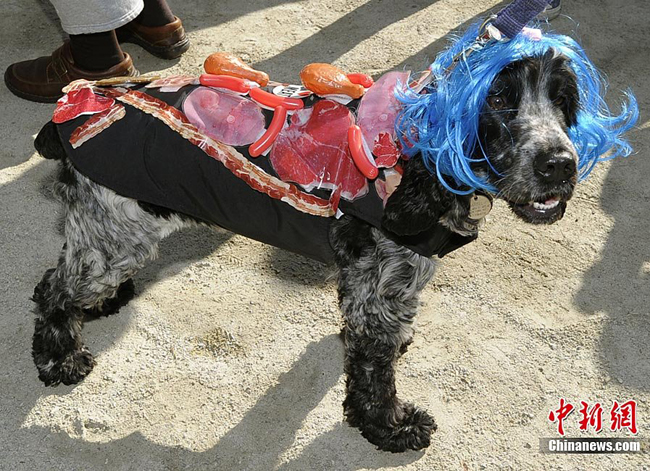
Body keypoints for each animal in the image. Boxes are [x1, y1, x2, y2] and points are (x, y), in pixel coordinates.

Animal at [30, 23, 632, 454]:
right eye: (500, 101)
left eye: (564, 101)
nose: (559, 165)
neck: (422, 151)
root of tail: (70, 110)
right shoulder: (378, 287)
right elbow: (374, 369)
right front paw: (391, 427)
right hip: (119, 234)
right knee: (53, 288)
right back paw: (61, 360)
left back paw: (103, 306)